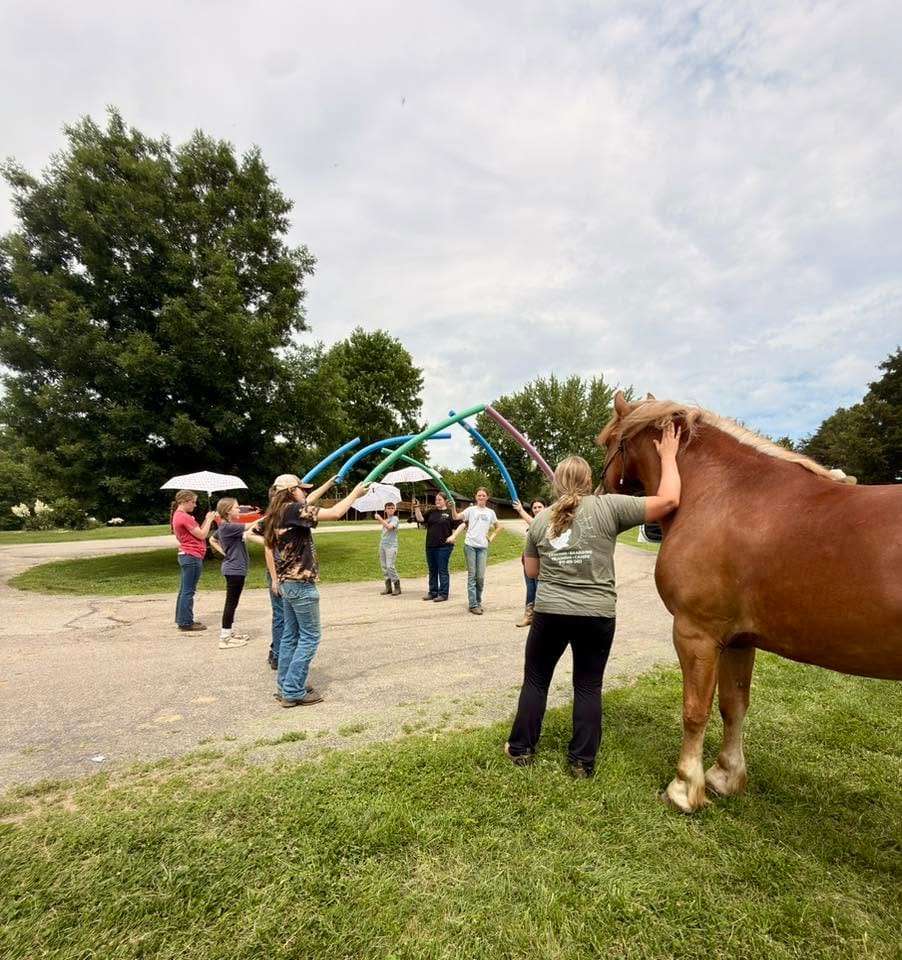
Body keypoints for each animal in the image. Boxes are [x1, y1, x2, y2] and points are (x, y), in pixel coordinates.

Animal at [598, 391, 902, 813]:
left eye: (607, 442)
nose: (599, 487)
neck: (724, 493)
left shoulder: (696, 633)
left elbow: (695, 710)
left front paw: (683, 788)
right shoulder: (739, 640)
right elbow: (734, 706)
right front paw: (724, 777)